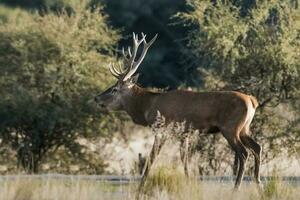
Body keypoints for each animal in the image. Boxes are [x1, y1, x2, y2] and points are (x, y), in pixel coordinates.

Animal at [94, 32, 260, 194]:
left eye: (114, 89)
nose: (97, 98)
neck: (147, 106)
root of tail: (252, 100)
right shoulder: (184, 133)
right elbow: (184, 159)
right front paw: (189, 183)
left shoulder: (163, 129)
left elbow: (152, 158)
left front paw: (140, 188)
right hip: (244, 128)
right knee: (257, 147)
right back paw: (258, 183)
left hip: (230, 127)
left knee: (244, 152)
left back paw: (236, 187)